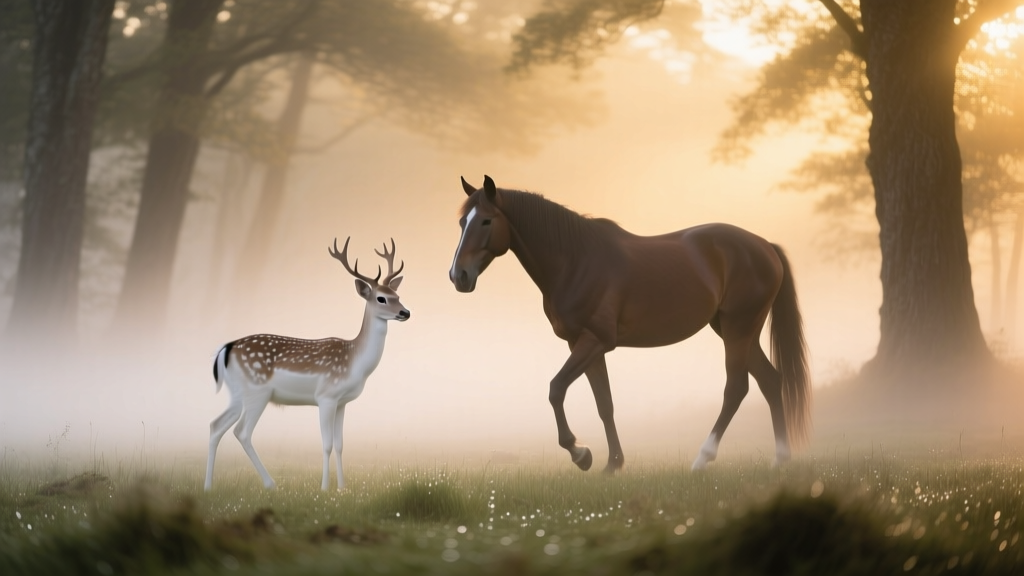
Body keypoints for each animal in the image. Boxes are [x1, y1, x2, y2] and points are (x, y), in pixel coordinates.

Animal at [205, 237, 410, 491]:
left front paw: (342, 488)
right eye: (381, 297)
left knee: (215, 425)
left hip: (237, 393)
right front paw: (324, 488)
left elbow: (340, 444)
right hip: (257, 391)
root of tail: (227, 348)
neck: (355, 361)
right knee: (241, 431)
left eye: (397, 295)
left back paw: (208, 487)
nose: (405, 312)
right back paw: (270, 484)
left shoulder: (342, 402)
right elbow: (327, 444)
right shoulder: (326, 397)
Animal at [448, 176, 810, 472]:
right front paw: (612, 463)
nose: (458, 276)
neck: (575, 262)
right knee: (770, 381)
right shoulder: (584, 344)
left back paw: (702, 459)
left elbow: (556, 389)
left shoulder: (594, 341)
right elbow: (604, 404)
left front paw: (580, 454)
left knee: (736, 388)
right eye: (462, 222)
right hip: (736, 331)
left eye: (486, 220)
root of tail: (765, 246)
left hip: (738, 328)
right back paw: (780, 458)